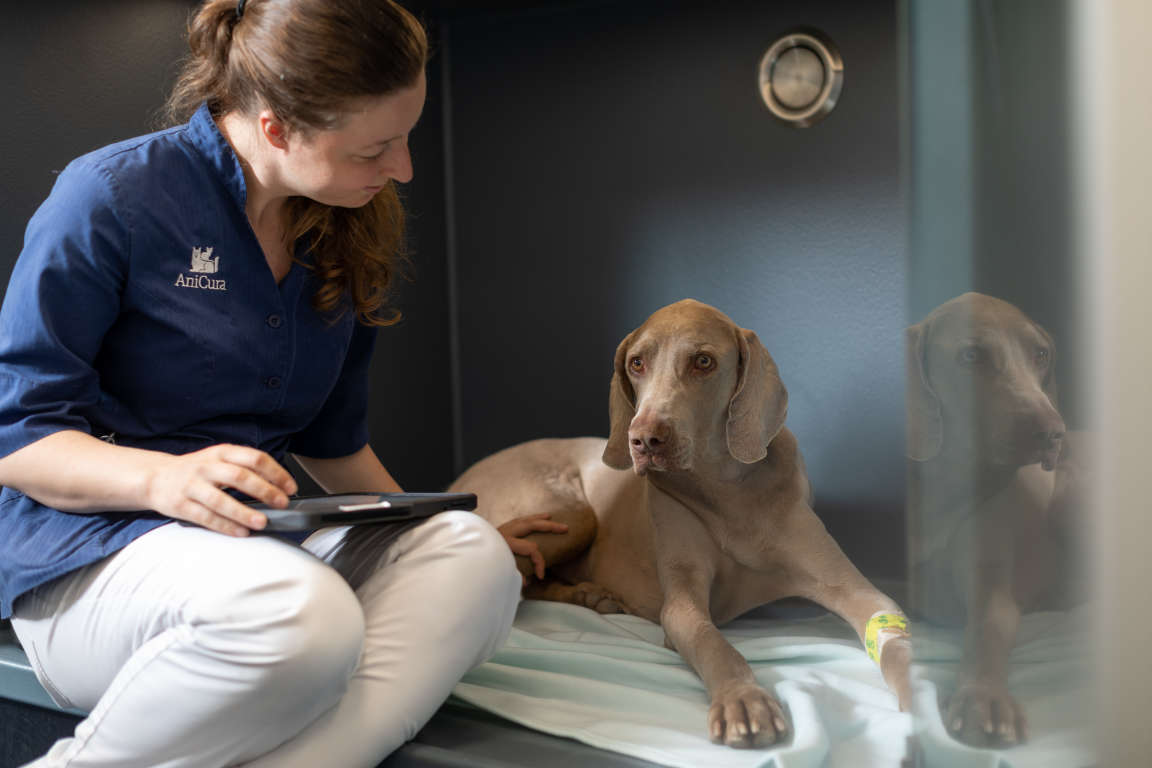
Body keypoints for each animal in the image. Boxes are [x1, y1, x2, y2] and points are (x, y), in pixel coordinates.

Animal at [449, 299, 907, 750]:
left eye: (703, 361)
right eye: (636, 363)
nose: (644, 439)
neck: (727, 493)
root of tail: (458, 479)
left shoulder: (855, 590)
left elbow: (891, 636)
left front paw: (913, 705)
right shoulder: (682, 604)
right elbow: (714, 644)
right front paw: (743, 699)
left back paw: (588, 596)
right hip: (574, 516)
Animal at [907, 291, 1087, 746]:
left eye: (1041, 354)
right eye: (972, 355)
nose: (1053, 433)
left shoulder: (991, 587)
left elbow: (986, 631)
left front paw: (982, 698)